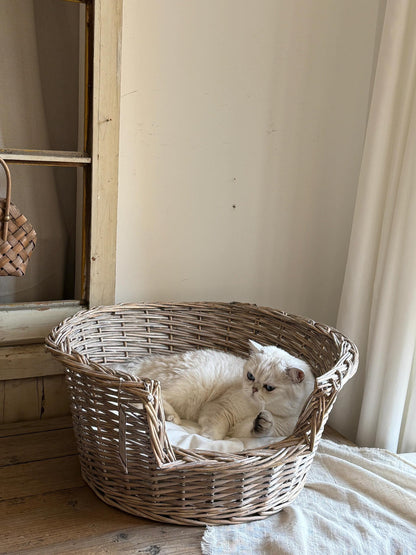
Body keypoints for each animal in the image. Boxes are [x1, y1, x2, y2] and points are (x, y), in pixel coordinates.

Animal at [105, 340, 314, 440]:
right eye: (250, 376)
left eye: (269, 387)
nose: (253, 389)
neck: (254, 408)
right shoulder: (220, 408)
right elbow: (216, 431)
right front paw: (208, 438)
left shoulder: (250, 430)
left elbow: (258, 429)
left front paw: (262, 423)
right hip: (192, 383)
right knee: (154, 396)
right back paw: (172, 416)